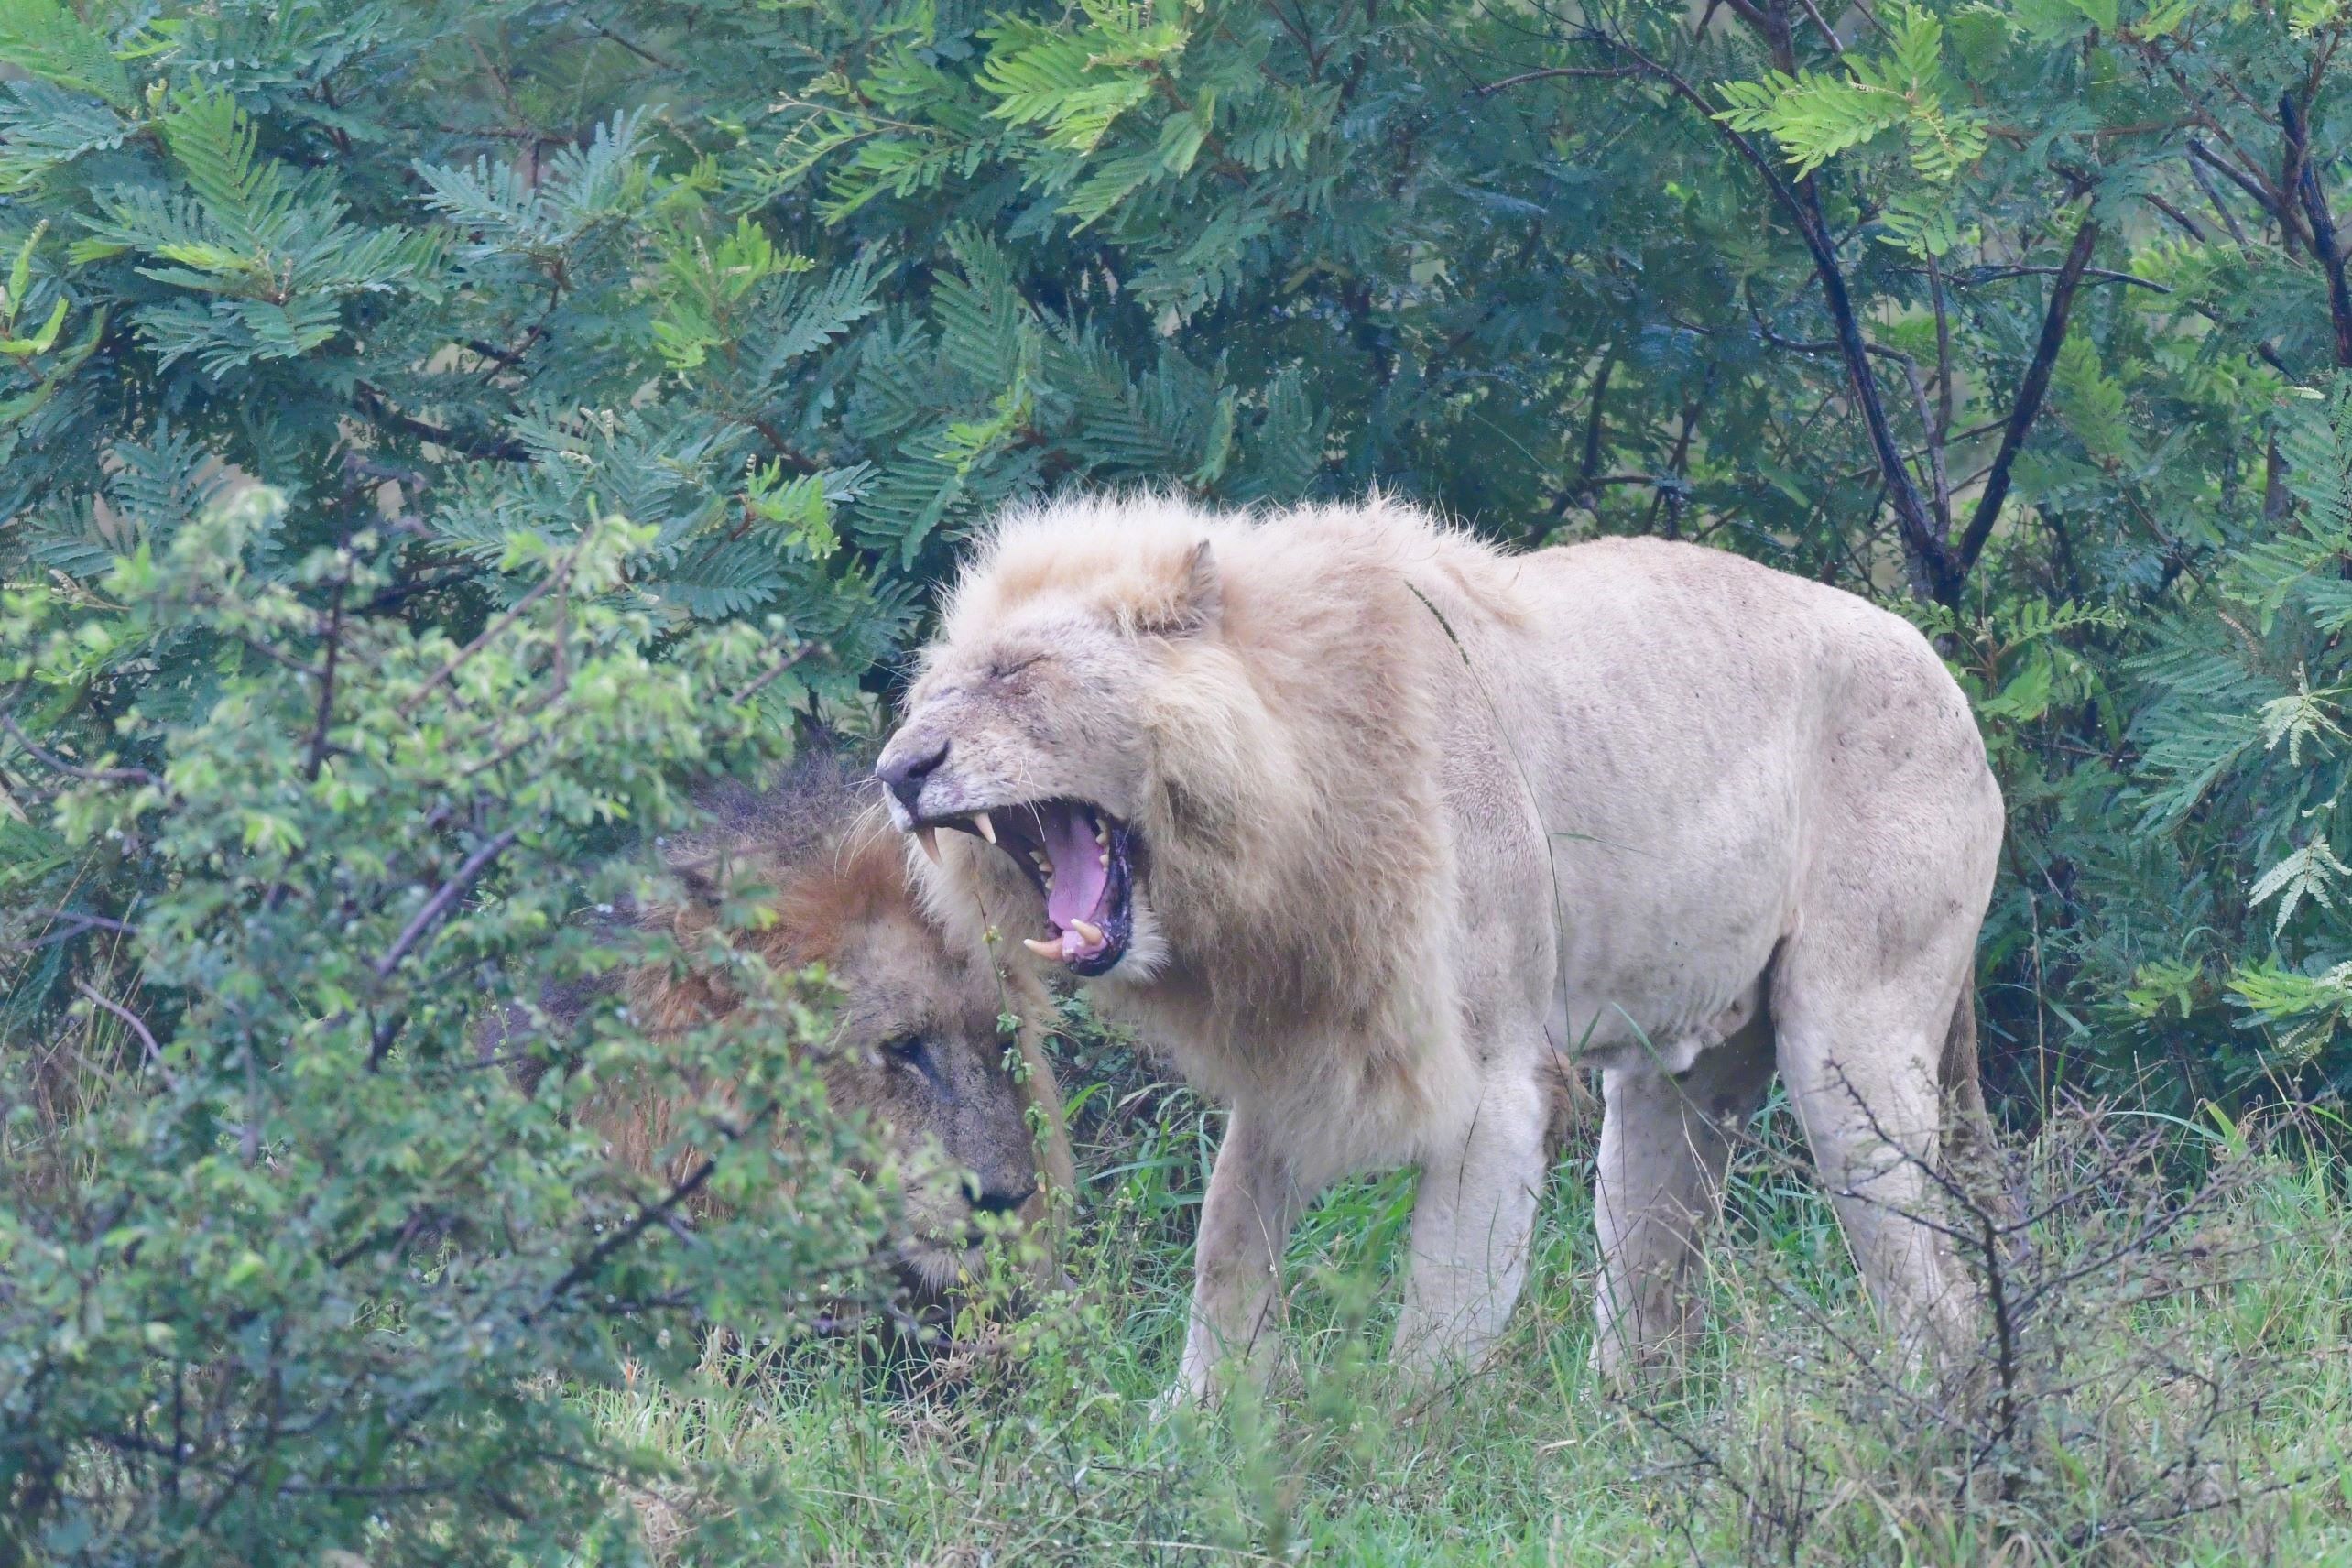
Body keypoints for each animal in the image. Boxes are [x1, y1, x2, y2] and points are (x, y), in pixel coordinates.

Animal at [874, 494, 2002, 1399]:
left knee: (1939, 1296)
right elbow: (1227, 1246)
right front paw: (1187, 1430)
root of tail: (1953, 685)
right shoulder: (1297, 1048)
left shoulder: (1493, 1080)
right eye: (928, 695)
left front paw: (1401, 1459)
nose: (896, 771)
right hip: (1676, 1087)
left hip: (1852, 1049)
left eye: (1017, 673)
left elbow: (1444, 1314)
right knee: (1653, 1294)